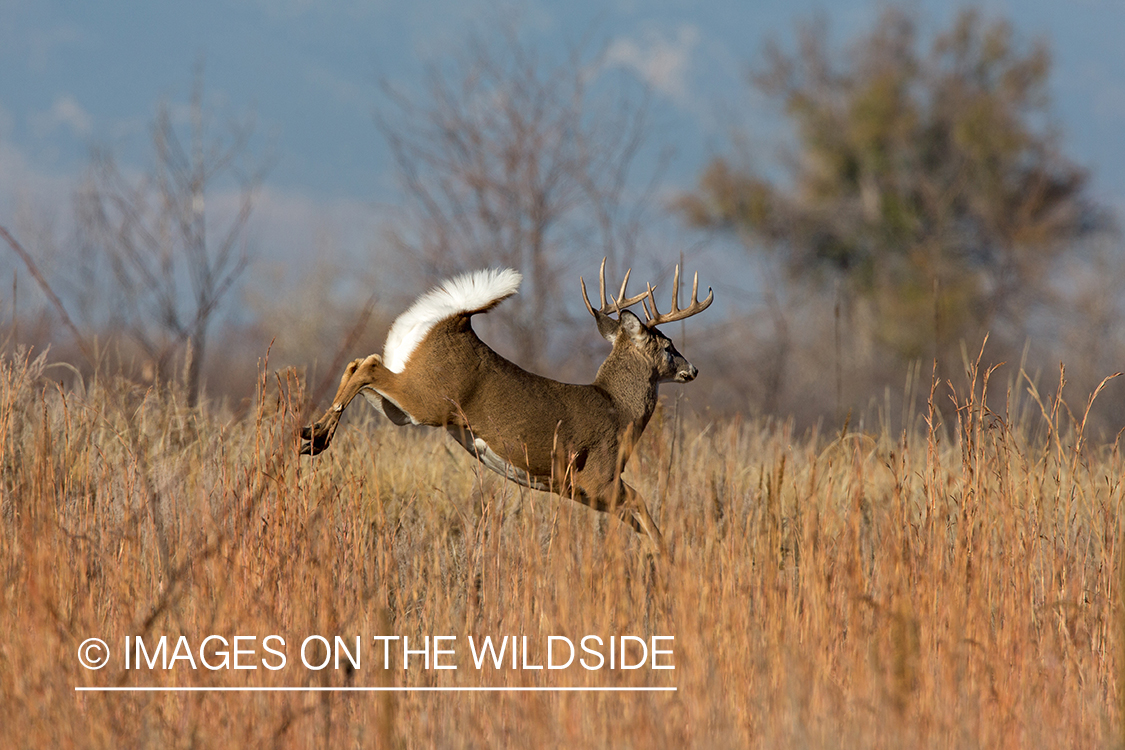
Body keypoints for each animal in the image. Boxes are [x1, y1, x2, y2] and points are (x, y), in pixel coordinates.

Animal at [299, 260, 711, 555]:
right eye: (669, 346)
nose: (693, 370)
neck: (619, 410)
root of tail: (457, 321)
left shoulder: (579, 490)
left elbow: (634, 518)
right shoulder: (596, 475)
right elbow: (642, 506)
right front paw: (666, 557)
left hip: (400, 408)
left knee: (358, 363)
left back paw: (312, 434)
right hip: (426, 400)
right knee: (367, 365)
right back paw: (316, 437)